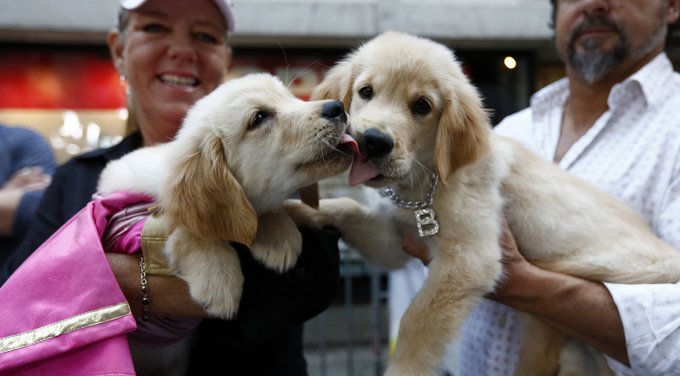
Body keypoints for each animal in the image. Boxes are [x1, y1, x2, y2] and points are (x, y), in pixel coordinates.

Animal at [101, 72, 356, 318]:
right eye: (259, 117)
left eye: (291, 97)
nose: (337, 107)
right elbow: (193, 231)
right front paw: (217, 276)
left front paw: (277, 235)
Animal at [286, 32, 680, 376]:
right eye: (366, 92)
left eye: (422, 106)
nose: (373, 141)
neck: (426, 182)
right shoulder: (396, 241)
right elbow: (348, 209)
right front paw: (295, 212)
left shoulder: (469, 260)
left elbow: (417, 320)